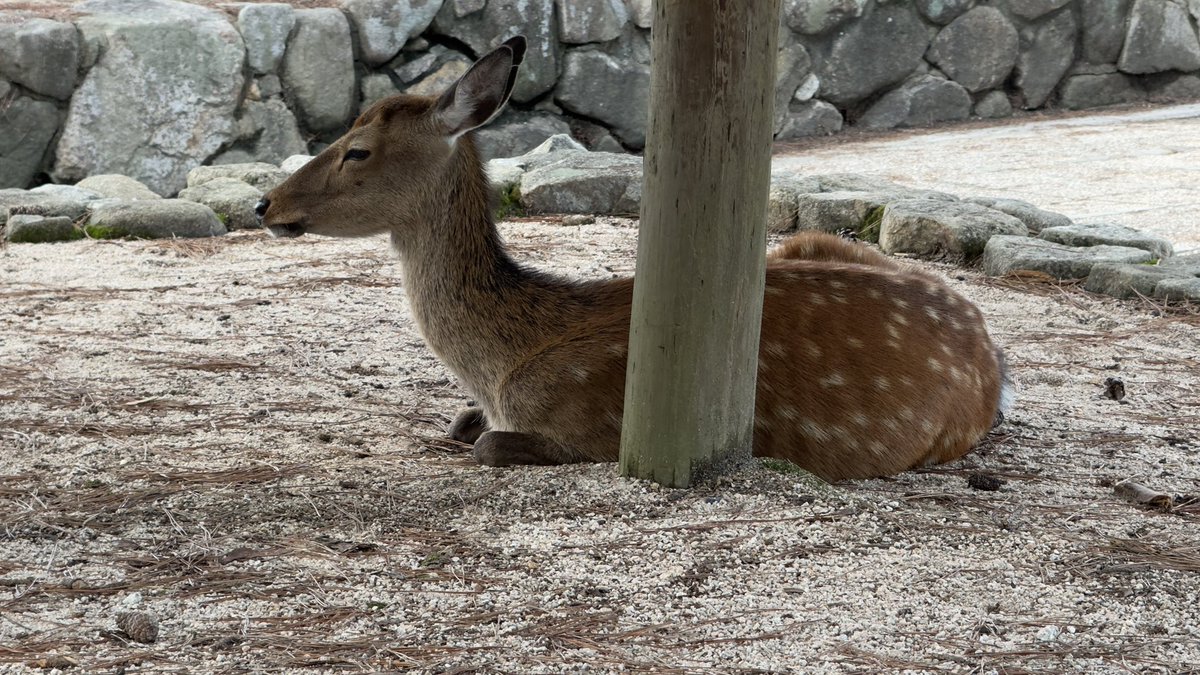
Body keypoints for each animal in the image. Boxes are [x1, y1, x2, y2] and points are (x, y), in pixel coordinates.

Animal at [257, 36, 1014, 481]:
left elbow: (486, 443)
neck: (503, 365)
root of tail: (988, 344)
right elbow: (463, 423)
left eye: (358, 150)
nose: (267, 203)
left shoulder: (593, 428)